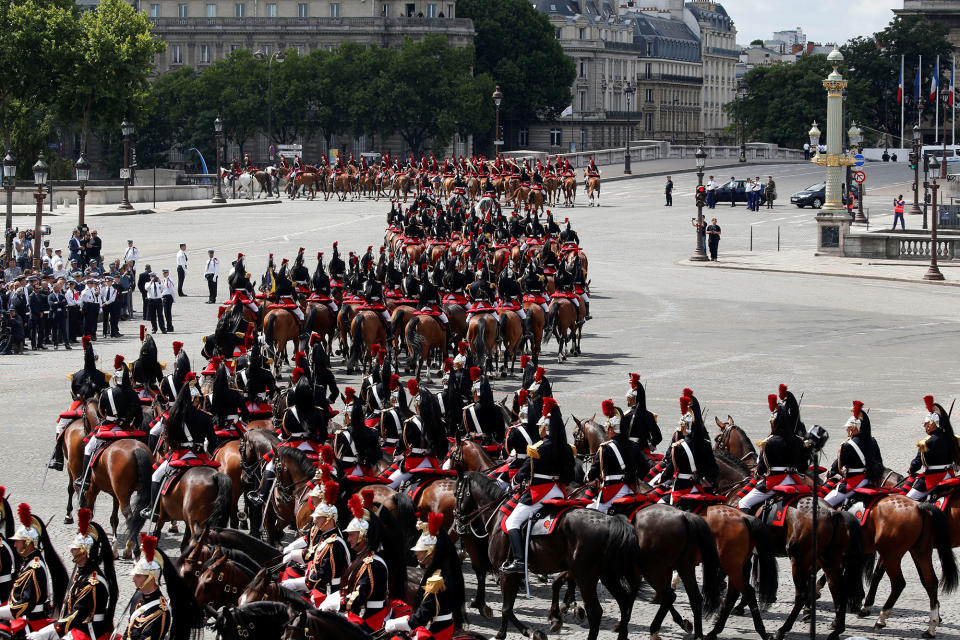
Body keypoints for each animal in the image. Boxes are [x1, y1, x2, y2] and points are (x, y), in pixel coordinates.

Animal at [454, 470, 640, 640]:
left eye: (456, 493)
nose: (457, 521)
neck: (498, 515)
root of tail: (611, 521)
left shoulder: (505, 571)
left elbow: (506, 608)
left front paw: (508, 633)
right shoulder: (515, 574)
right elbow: (509, 606)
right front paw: (525, 631)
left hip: (586, 577)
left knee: (595, 612)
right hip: (607, 575)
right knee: (624, 603)